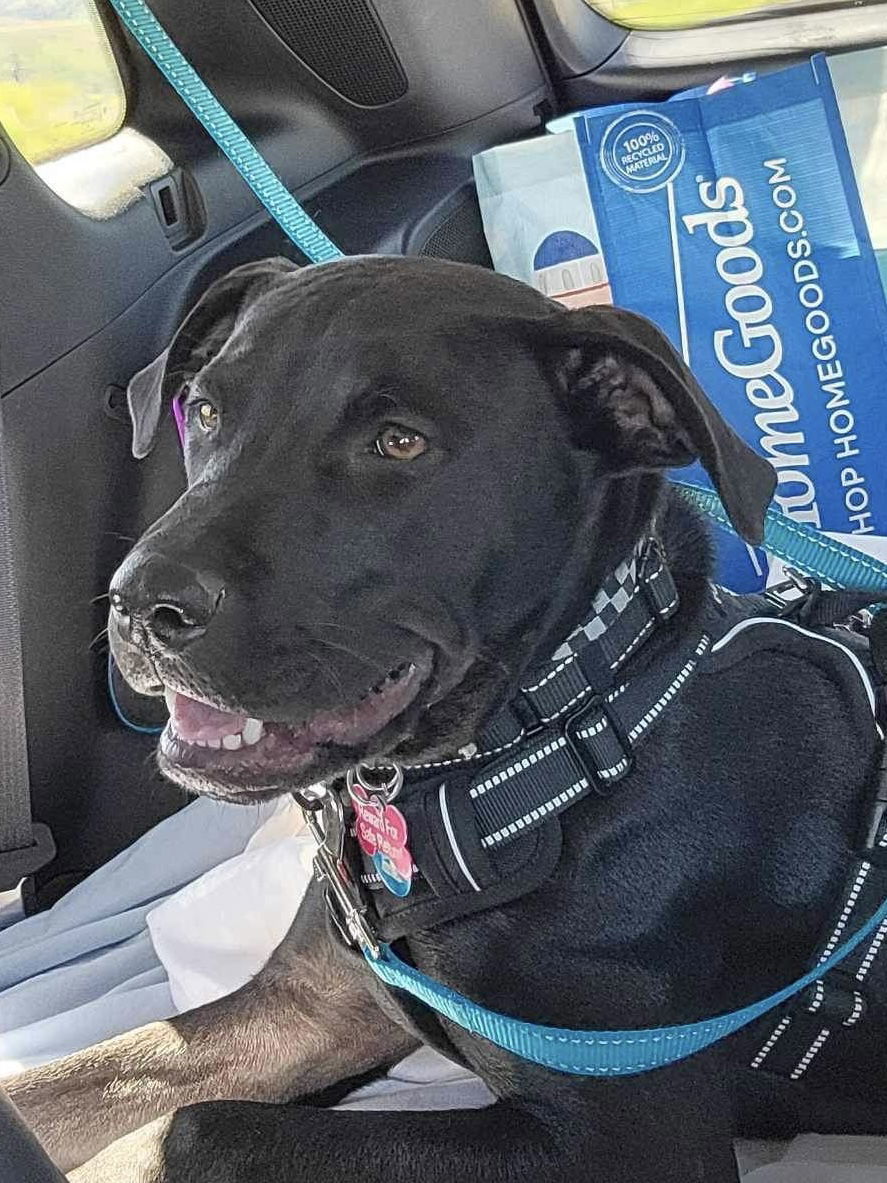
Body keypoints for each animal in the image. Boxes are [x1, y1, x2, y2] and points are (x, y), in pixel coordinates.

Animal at [8, 254, 887, 1178]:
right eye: (207, 410)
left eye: (399, 442)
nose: (138, 602)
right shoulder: (310, 1004)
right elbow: (67, 1087)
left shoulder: (623, 1140)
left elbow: (193, 1129)